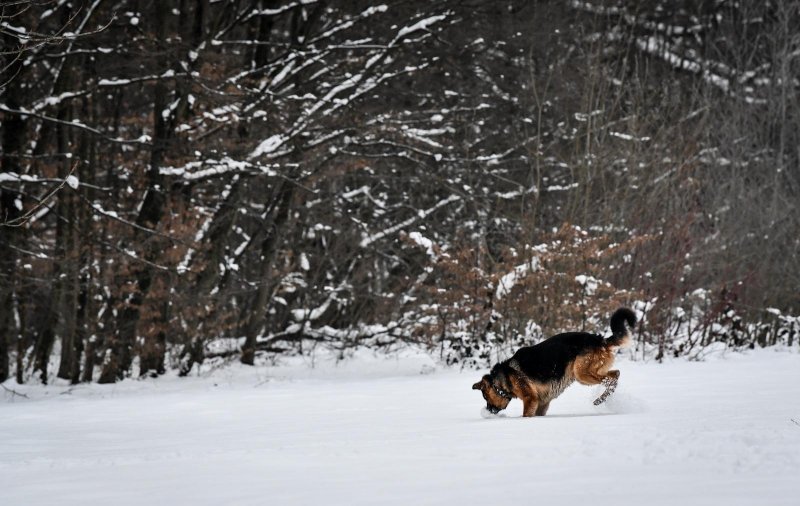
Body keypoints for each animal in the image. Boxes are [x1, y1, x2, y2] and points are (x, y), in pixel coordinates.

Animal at [468, 306, 636, 418]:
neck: (502, 380)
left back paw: (600, 399)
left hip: (581, 373)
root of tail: (600, 339)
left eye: (485, 397)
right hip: (586, 374)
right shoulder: (542, 403)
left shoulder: (530, 399)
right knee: (615, 373)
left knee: (613, 378)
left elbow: (525, 415)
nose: (489, 411)